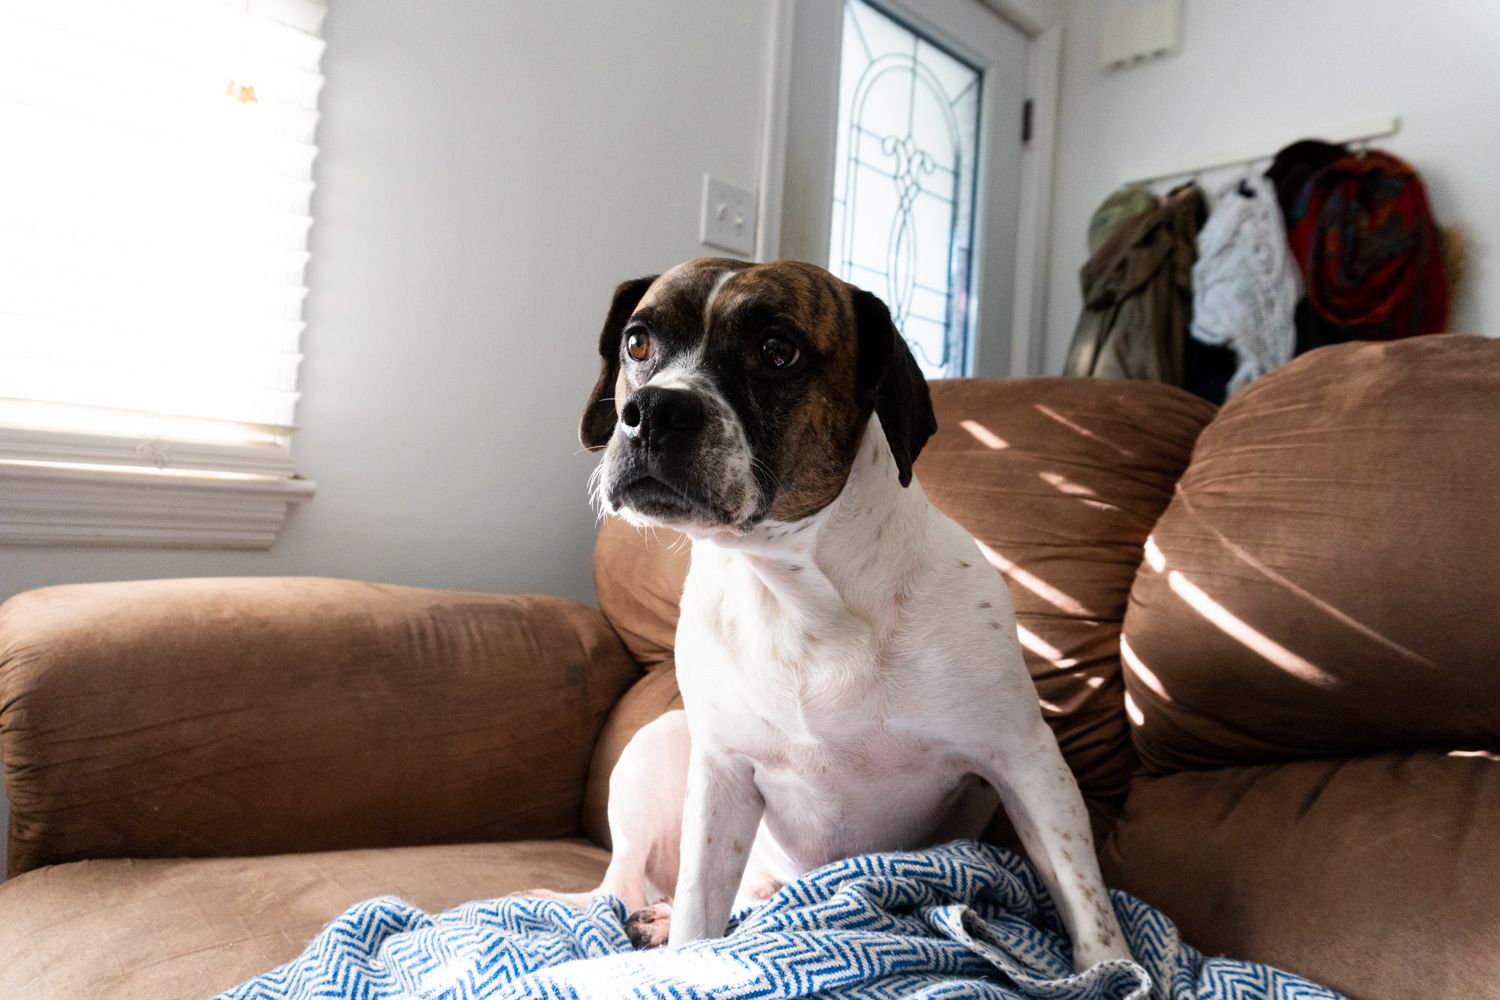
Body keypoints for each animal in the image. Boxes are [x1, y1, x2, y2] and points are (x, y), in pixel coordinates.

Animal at [567, 257, 1128, 977]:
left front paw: (1116, 973)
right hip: (657, 744)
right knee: (630, 884)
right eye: (638, 343)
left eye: (777, 350)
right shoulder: (722, 775)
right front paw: (684, 944)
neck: (799, 593)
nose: (651, 411)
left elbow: (1088, 909)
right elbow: (699, 910)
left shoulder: (1026, 761)